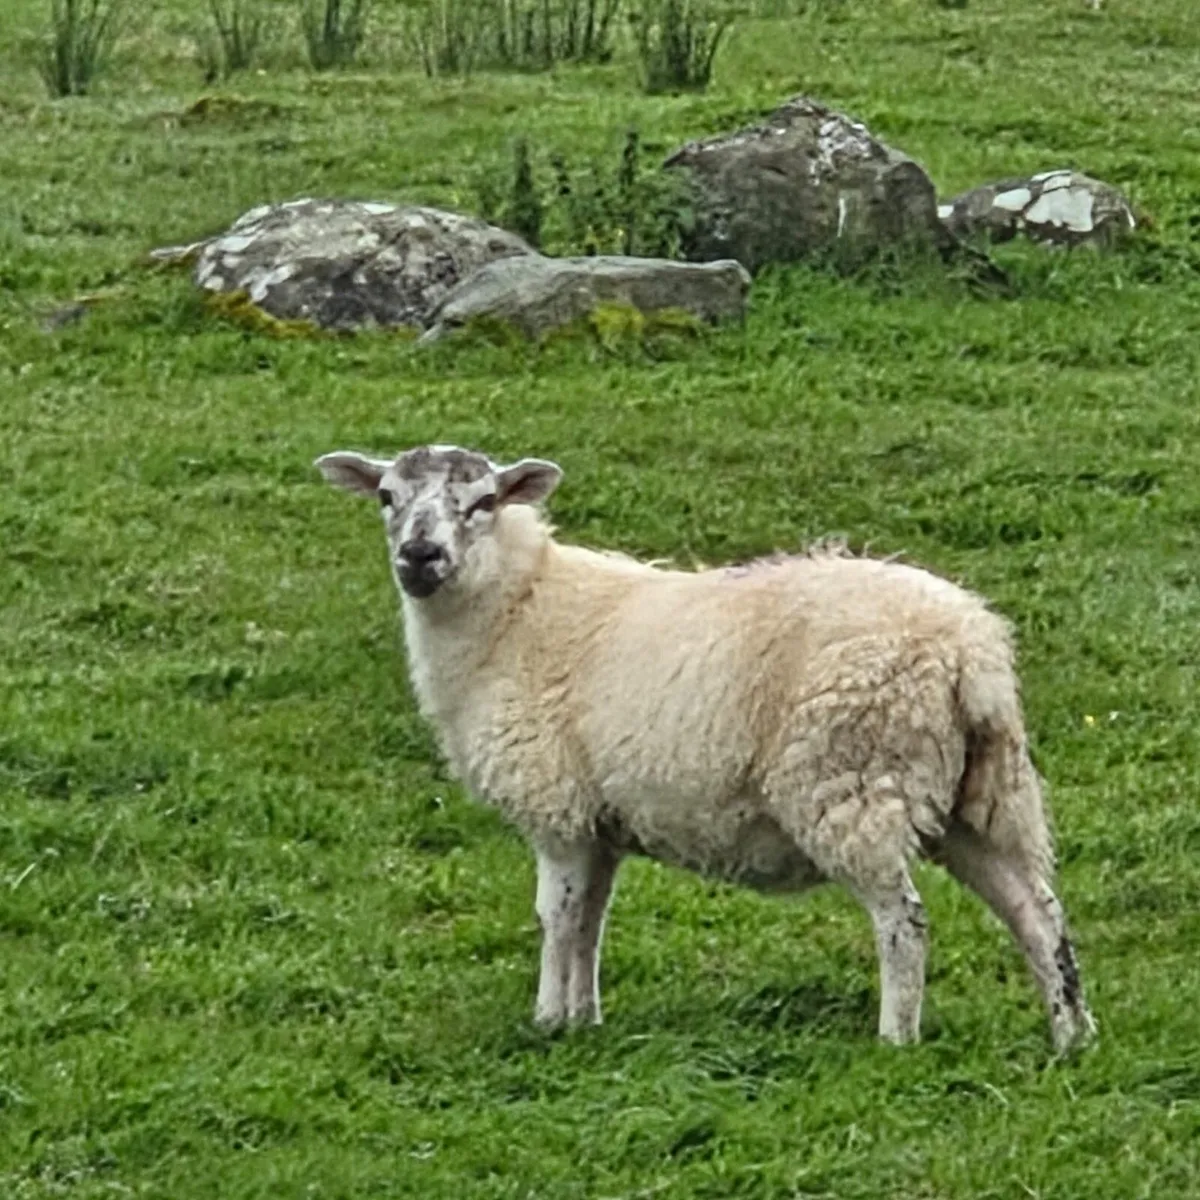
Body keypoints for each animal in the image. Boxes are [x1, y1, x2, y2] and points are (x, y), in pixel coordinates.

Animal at [316, 442, 1096, 1051]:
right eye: (386, 496)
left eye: (482, 502)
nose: (420, 556)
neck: (517, 611)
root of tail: (970, 648)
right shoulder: (599, 821)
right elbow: (591, 921)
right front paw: (584, 1020)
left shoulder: (555, 806)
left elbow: (556, 917)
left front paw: (546, 1021)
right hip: (979, 794)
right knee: (1038, 913)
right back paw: (1070, 1037)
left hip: (852, 782)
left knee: (904, 920)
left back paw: (895, 1039)